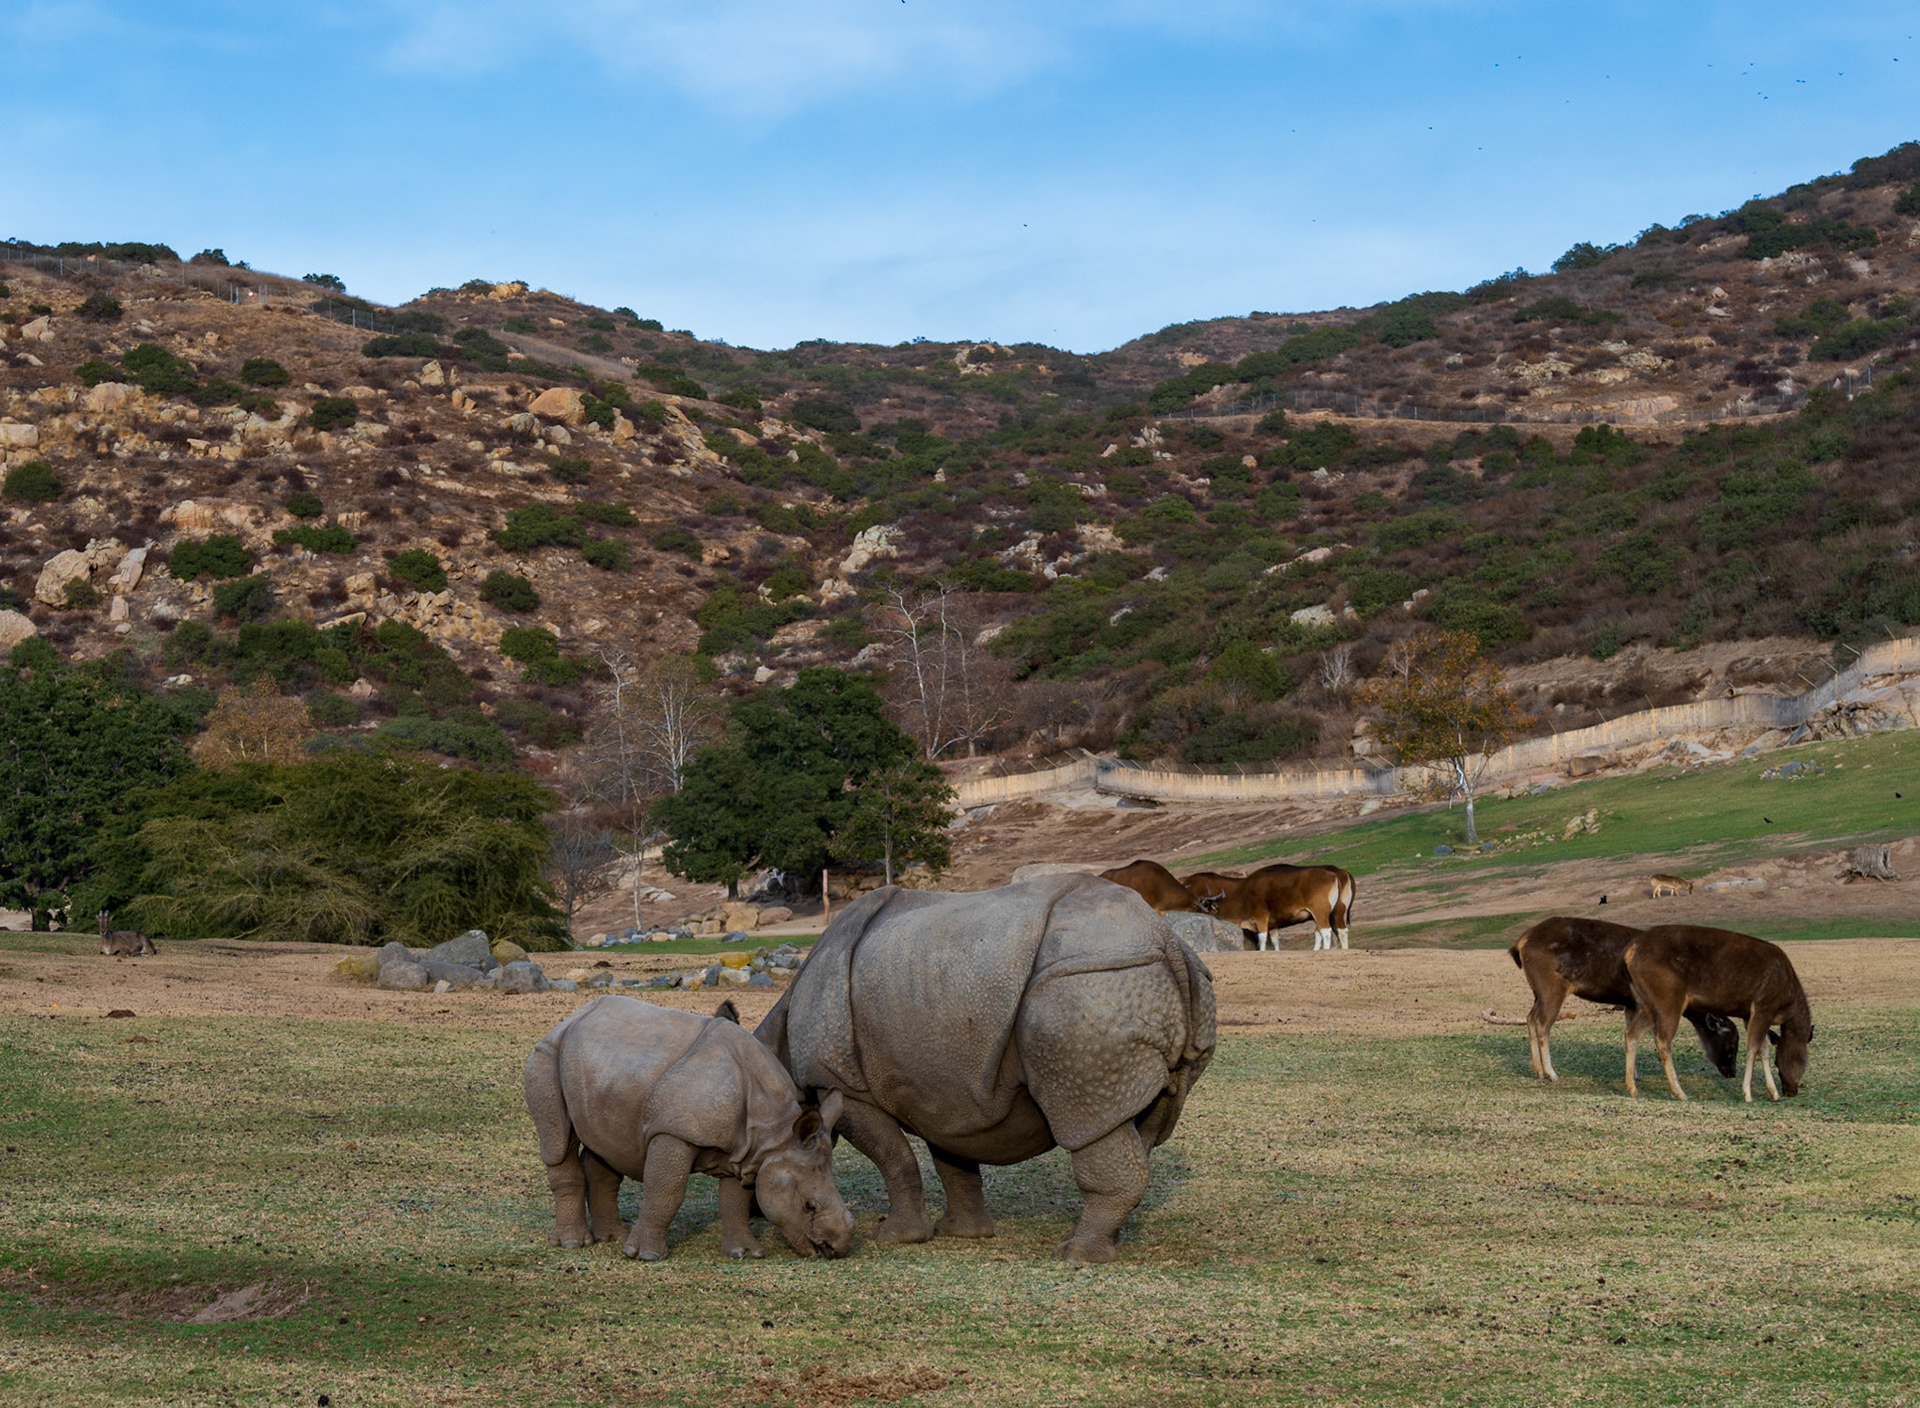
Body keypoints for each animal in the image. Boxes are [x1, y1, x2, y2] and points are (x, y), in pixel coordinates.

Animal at [524, 995, 855, 1261]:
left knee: (606, 1146)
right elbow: (665, 1190)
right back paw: (573, 1244)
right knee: (558, 1143)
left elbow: (734, 1200)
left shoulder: (743, 1150)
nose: (837, 1248)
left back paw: (613, 1237)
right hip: (547, 1054)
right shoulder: (674, 1132)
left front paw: (744, 1253)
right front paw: (645, 1255)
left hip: (605, 1069)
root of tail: (573, 1017)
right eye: (810, 1206)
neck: (775, 1133)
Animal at [757, 875, 1216, 1263]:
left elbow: (894, 1157)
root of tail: (1166, 938)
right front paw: (963, 1233)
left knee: (1086, 1118)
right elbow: (953, 1161)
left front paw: (896, 1238)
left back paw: (1075, 1255)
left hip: (1086, 988)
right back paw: (1098, 1243)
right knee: (1143, 1124)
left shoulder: (840, 1081)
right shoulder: (940, 1091)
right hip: (1152, 982)